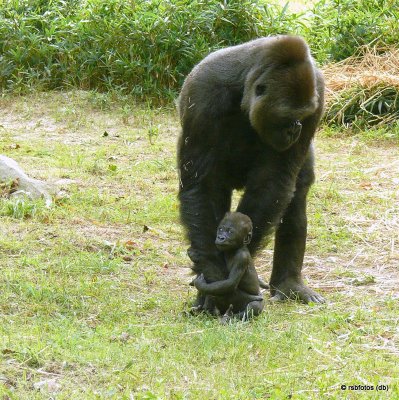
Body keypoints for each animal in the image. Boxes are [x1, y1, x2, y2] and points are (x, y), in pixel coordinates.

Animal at [178, 35, 324, 304]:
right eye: (285, 117)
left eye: (302, 116)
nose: (295, 129)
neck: (244, 86)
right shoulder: (204, 94)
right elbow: (202, 184)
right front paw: (213, 269)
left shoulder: (318, 93)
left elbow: (273, 183)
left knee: (297, 192)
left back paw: (289, 283)